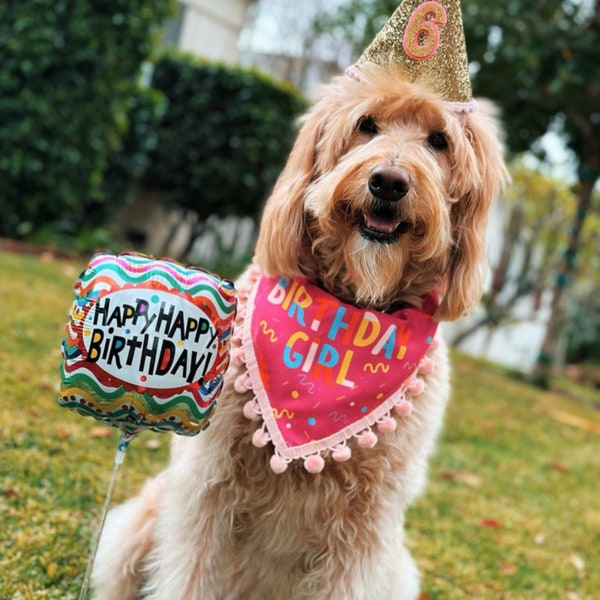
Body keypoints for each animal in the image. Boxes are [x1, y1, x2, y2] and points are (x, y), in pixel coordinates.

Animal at [92, 2, 506, 596]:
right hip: (140, 523)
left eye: (438, 140)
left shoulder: (365, 531)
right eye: (366, 125)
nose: (388, 181)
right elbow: (189, 571)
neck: (351, 308)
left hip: (396, 570)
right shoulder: (206, 487)